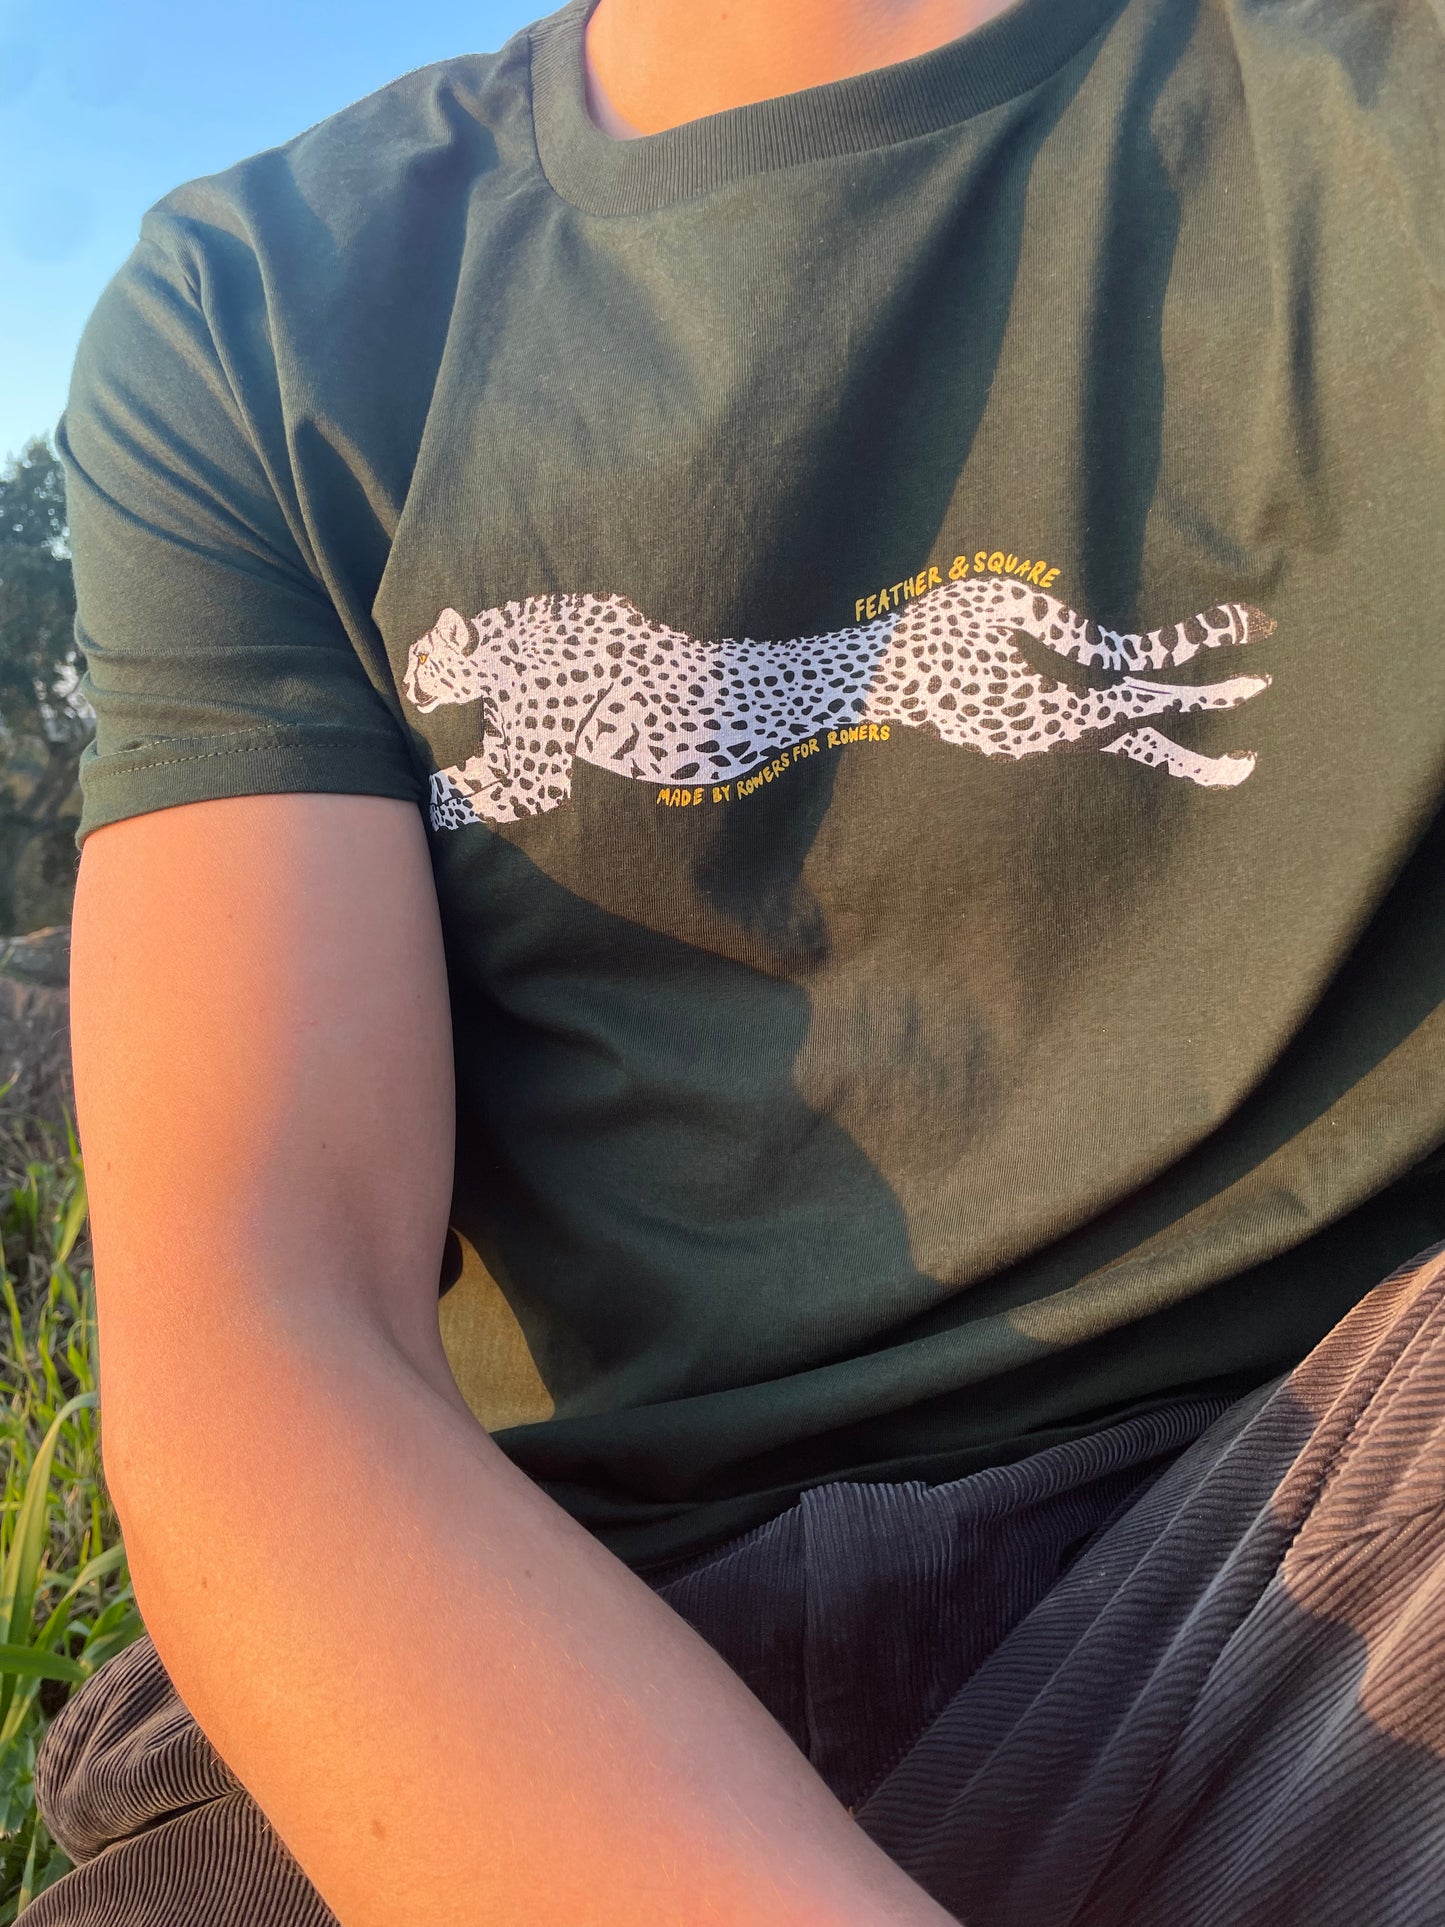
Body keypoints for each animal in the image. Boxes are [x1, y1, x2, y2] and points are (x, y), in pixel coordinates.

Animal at [403, 573, 1279, 829]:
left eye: (416, 658)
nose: (407, 684)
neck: (501, 651)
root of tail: (960, 591)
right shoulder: (505, 757)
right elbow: (453, 781)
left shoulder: (539, 778)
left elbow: (455, 798)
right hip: (1010, 716)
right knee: (1127, 708)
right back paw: (1230, 754)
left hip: (1005, 713)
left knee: (1123, 694)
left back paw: (1237, 703)